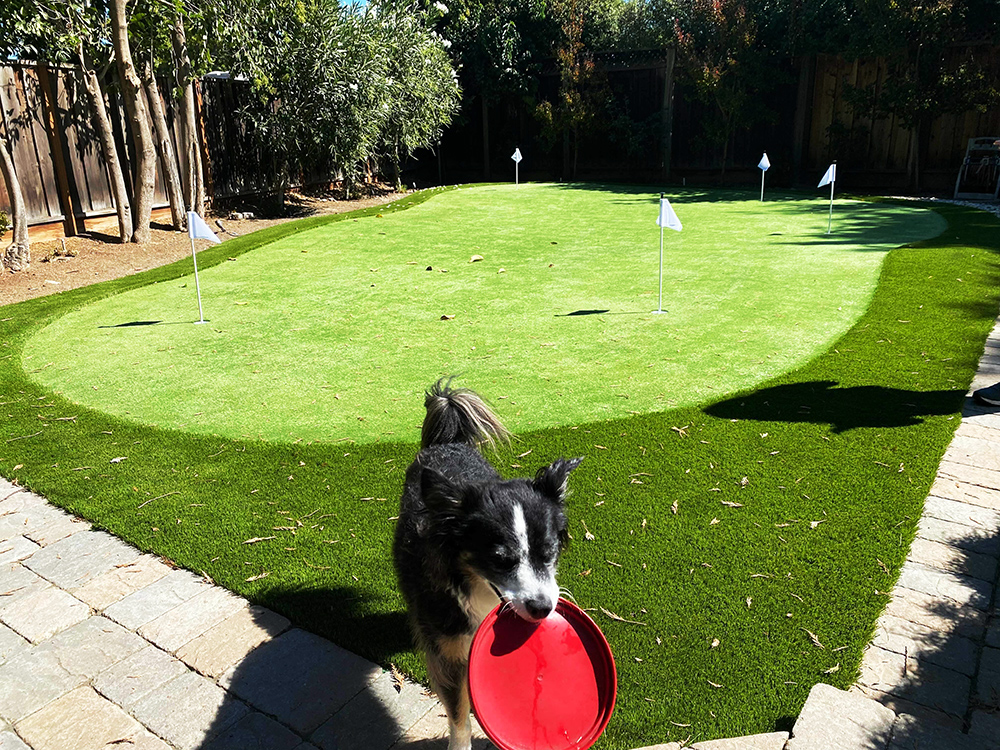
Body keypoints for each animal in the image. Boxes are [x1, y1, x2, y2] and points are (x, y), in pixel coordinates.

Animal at [392, 382, 584, 750]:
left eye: (550, 552)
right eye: (499, 559)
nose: (543, 608)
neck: (475, 587)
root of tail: (446, 444)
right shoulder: (449, 653)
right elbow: (459, 715)